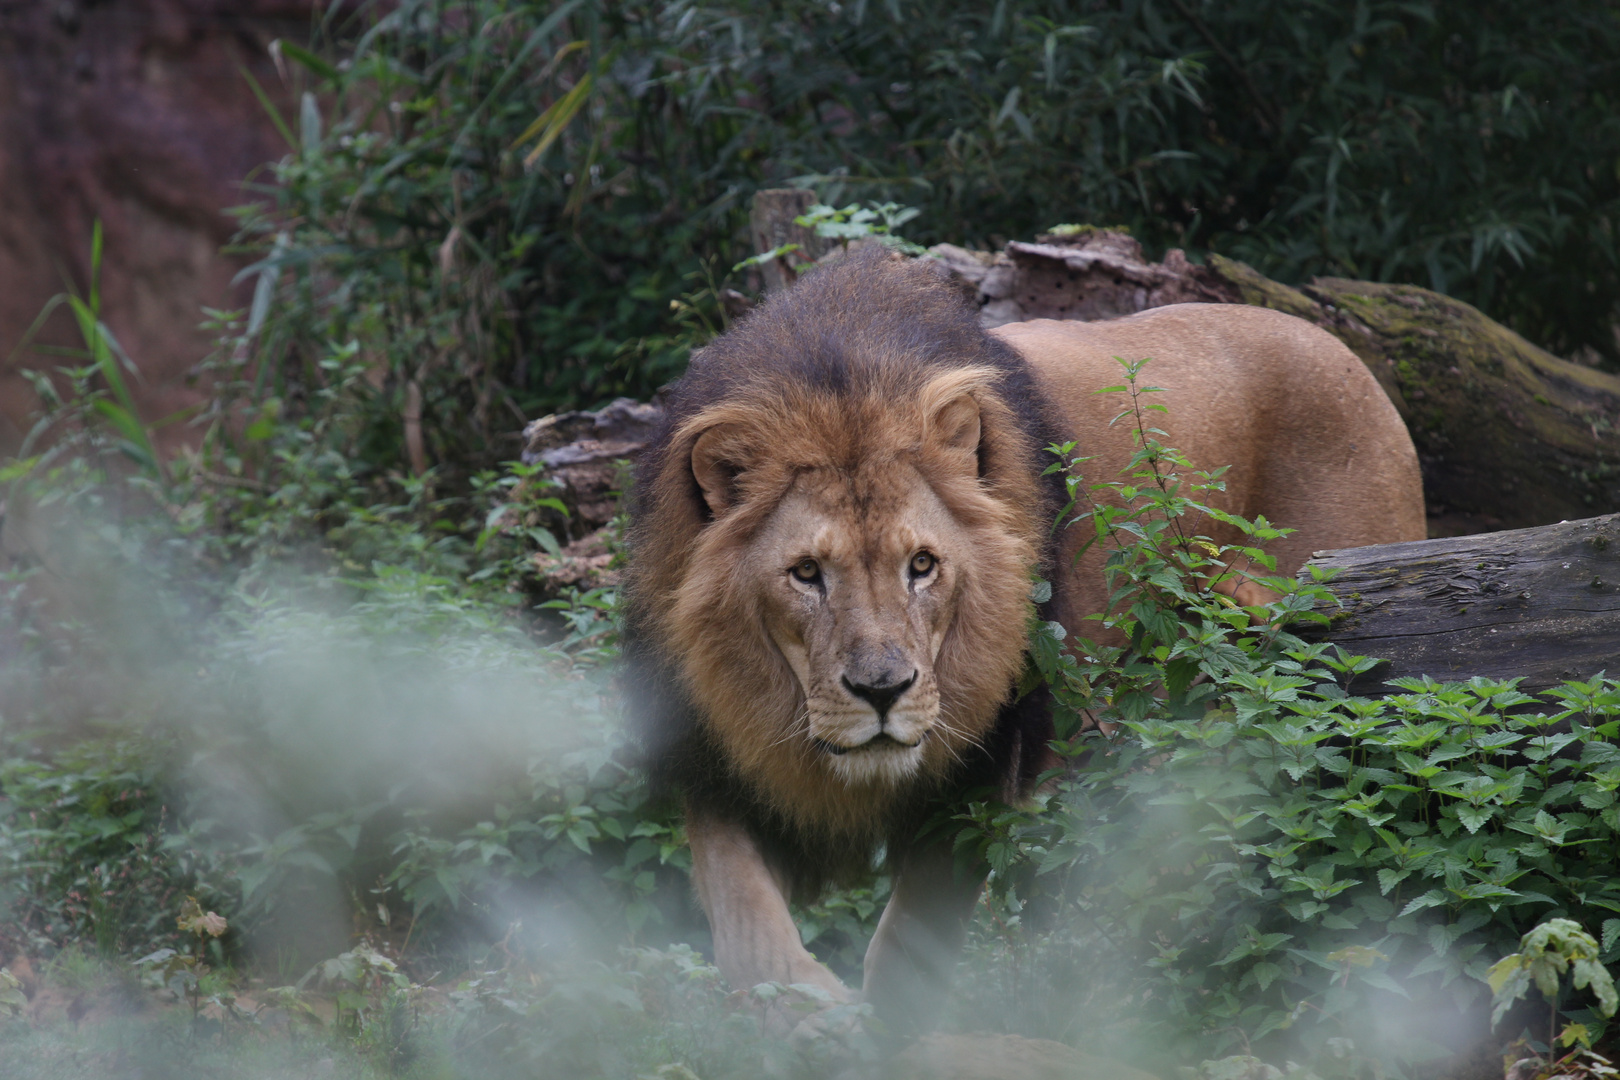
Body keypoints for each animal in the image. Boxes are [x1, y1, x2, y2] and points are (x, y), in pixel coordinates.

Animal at [618, 249, 1419, 1036]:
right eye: (807, 573)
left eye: (922, 565)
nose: (882, 692)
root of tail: (1334, 342)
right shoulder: (712, 760)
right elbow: (744, 919)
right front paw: (804, 1012)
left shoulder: (988, 765)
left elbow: (909, 947)